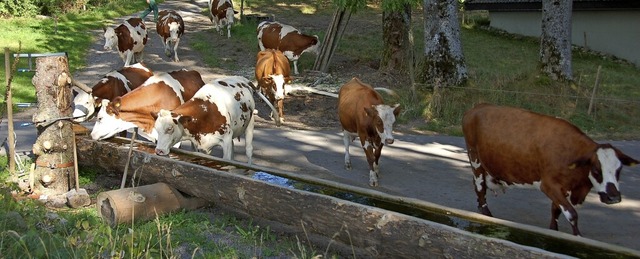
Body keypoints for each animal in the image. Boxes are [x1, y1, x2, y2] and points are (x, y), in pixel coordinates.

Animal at [462, 102, 636, 237]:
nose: (614, 197)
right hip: (475, 159)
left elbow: (556, 210)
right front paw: (578, 236)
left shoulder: (562, 188)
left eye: (619, 170)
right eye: (596, 169)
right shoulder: (549, 185)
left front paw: (553, 230)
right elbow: (572, 214)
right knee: (480, 187)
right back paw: (487, 214)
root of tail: (478, 107)